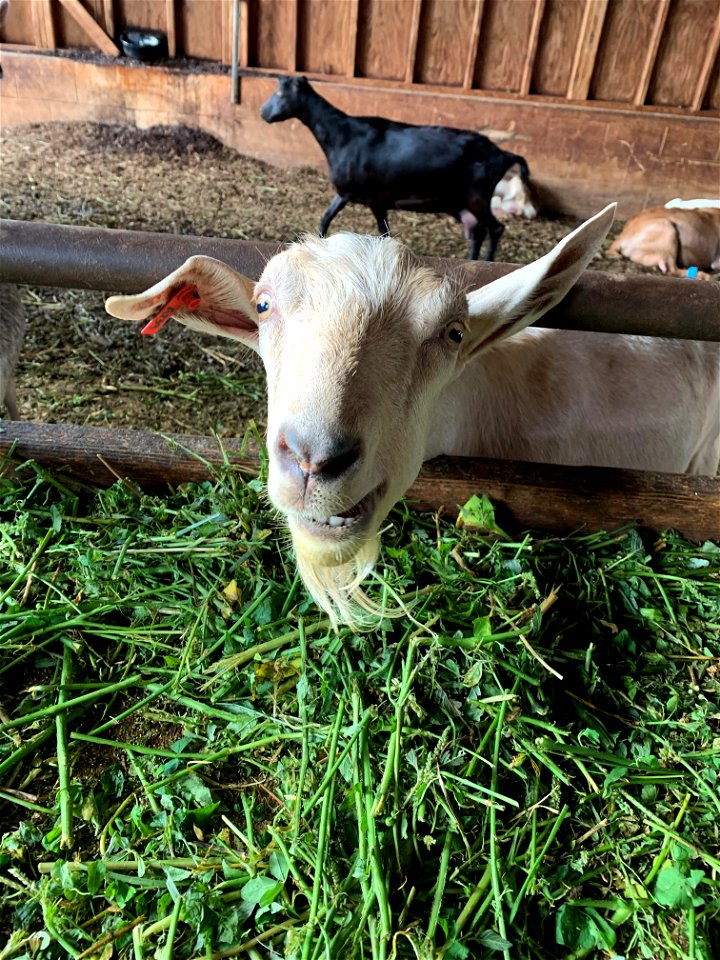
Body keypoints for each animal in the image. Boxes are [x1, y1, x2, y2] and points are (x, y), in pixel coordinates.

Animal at [262, 75, 532, 260]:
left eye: (281, 93)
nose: (263, 112)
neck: (342, 135)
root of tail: (503, 154)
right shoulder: (347, 194)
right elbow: (325, 219)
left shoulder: (375, 199)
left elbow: (384, 234)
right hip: (460, 203)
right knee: (478, 232)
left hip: (477, 197)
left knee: (496, 229)